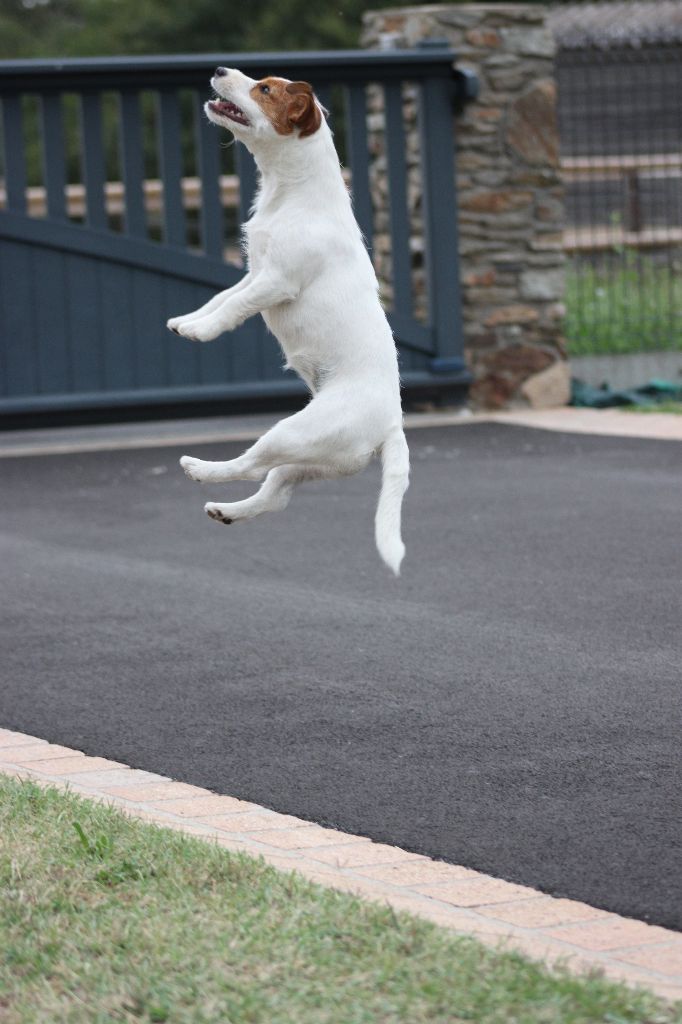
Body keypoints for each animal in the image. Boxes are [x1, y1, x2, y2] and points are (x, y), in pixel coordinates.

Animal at [167, 70, 409, 577]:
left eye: (264, 90)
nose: (219, 71)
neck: (291, 193)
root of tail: (391, 427)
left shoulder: (276, 281)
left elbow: (233, 309)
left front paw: (201, 332)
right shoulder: (253, 271)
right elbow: (222, 297)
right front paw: (186, 320)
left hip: (295, 432)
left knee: (251, 464)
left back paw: (201, 469)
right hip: (312, 459)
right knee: (274, 493)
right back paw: (227, 510)